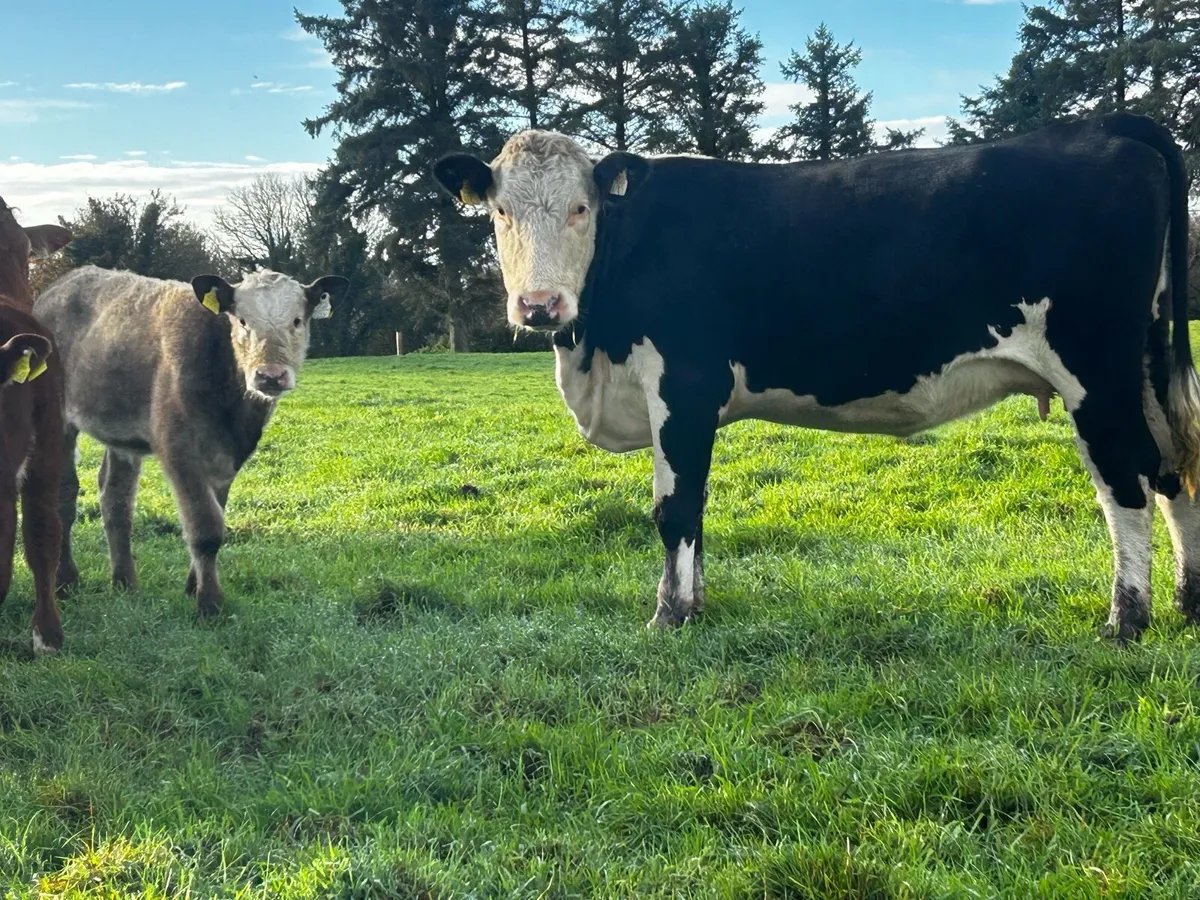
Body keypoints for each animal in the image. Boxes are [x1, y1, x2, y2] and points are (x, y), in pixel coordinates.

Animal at [35, 266, 348, 617]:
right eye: (242, 321)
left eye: (297, 320)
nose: (270, 375)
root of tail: (65, 281)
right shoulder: (178, 449)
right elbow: (205, 527)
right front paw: (209, 603)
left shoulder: (227, 456)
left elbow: (216, 514)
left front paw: (193, 585)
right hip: (59, 421)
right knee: (64, 495)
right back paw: (65, 582)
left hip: (120, 432)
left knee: (115, 498)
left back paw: (125, 583)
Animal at [434, 113, 1200, 643]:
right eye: (500, 212)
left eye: (580, 208)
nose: (539, 305)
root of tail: (1103, 126)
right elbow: (694, 507)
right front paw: (693, 603)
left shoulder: (684, 384)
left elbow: (675, 508)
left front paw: (670, 616)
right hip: (1144, 363)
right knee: (1172, 473)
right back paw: (1188, 603)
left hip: (1095, 370)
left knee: (1126, 484)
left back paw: (1127, 619)